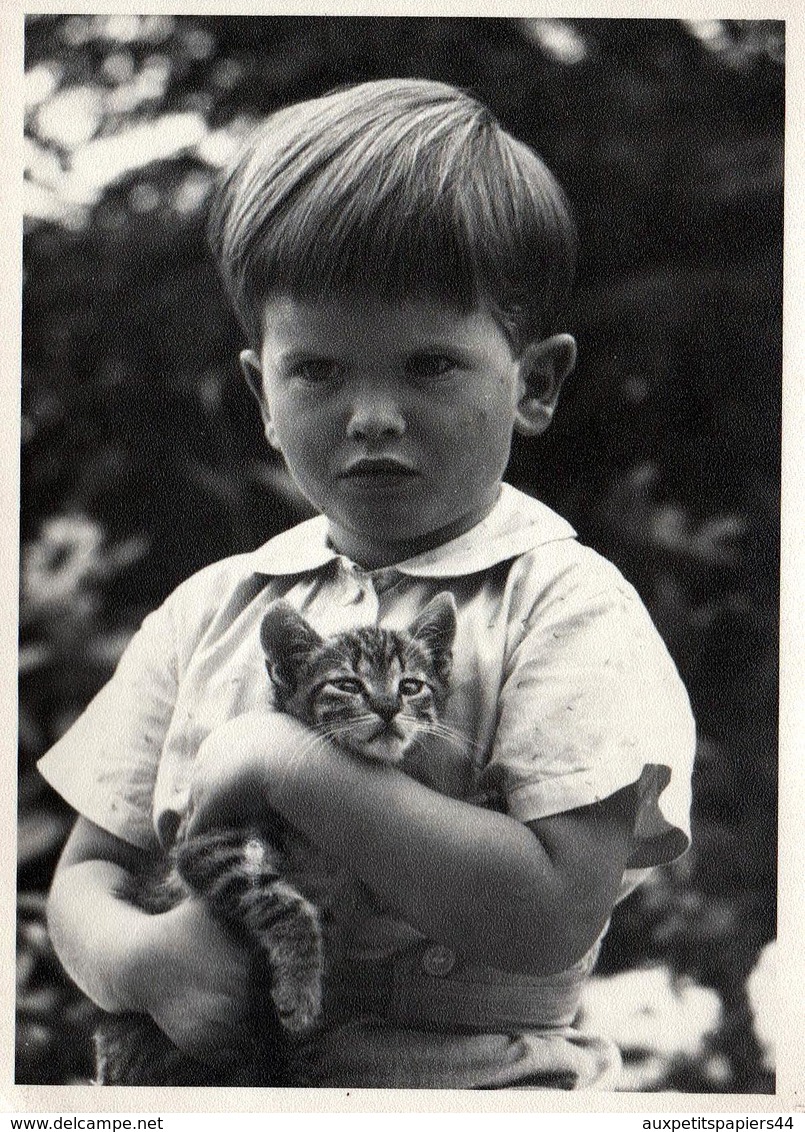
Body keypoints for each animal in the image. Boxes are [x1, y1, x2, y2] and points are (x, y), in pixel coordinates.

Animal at [91, 588, 457, 1082]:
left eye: (411, 686)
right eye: (347, 685)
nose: (387, 707)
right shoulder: (205, 845)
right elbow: (282, 901)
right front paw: (300, 991)